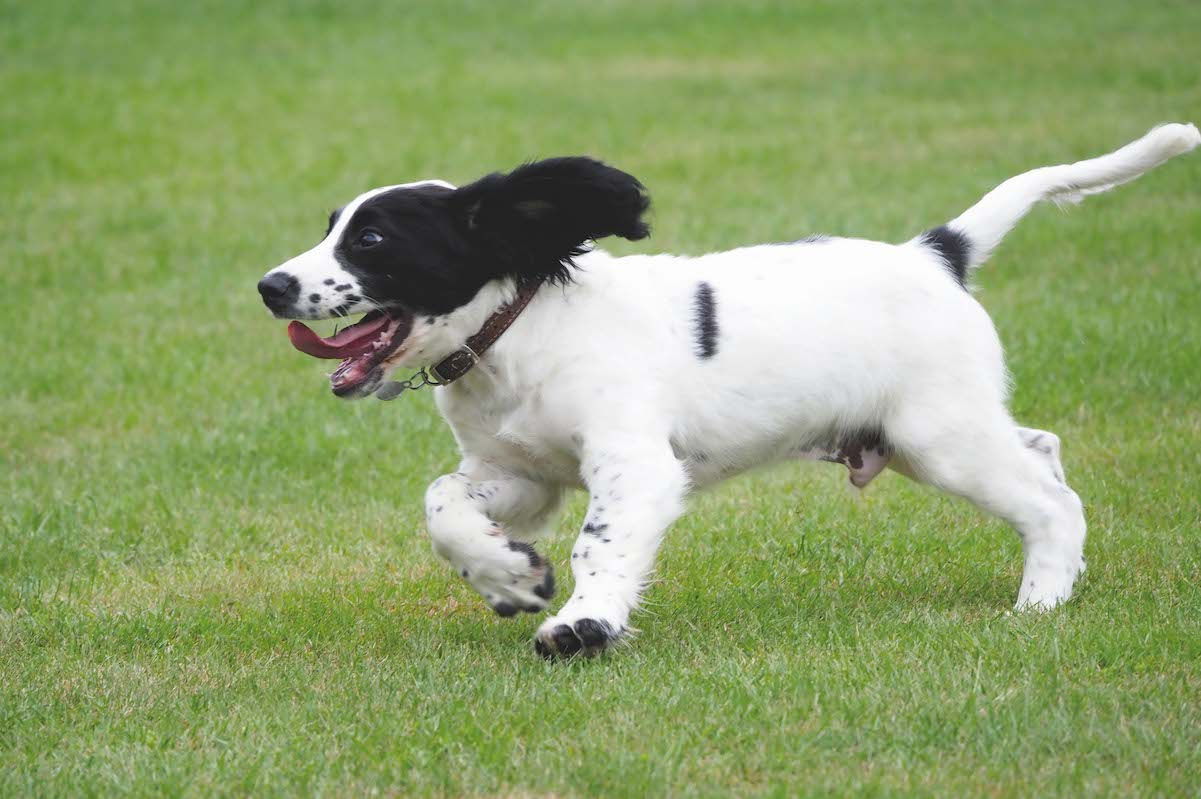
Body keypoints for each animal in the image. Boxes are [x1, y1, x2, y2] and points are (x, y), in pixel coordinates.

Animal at [258, 124, 1196, 653]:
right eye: (331, 229)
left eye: (372, 239)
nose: (270, 285)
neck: (517, 336)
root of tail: (935, 251)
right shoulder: (518, 473)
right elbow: (441, 504)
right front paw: (509, 577)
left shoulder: (633, 464)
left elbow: (601, 543)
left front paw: (582, 624)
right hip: (933, 432)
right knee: (1043, 450)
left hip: (939, 435)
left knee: (1049, 499)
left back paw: (1038, 604)